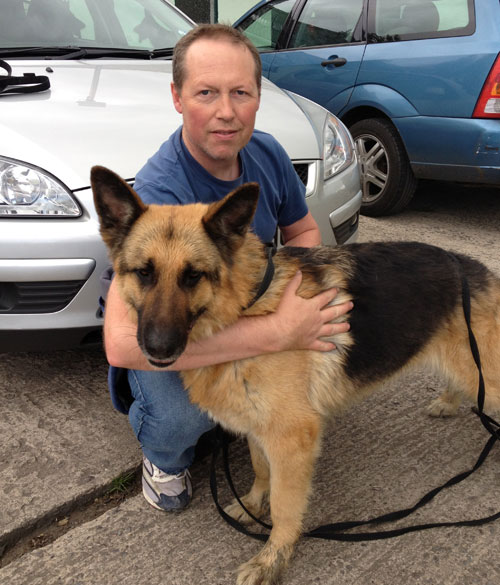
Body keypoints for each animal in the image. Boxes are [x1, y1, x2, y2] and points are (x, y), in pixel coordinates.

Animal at [91, 165, 500, 584]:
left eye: (194, 276)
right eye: (144, 273)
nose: (157, 349)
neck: (247, 310)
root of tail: (469, 266)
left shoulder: (291, 440)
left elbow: (285, 507)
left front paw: (272, 558)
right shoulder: (259, 428)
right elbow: (260, 471)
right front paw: (253, 505)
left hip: (484, 371)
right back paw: (449, 401)